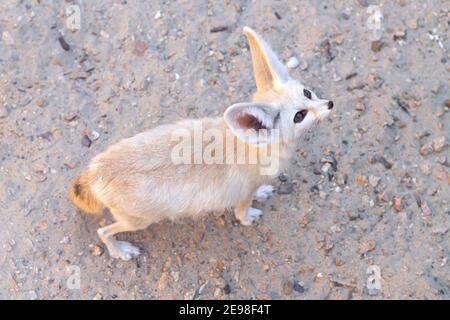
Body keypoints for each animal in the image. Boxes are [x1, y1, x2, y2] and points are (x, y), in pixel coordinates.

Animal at [67, 25, 334, 260]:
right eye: (299, 116)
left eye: (307, 93)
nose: (330, 104)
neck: (256, 147)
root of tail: (94, 174)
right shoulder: (243, 194)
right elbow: (242, 213)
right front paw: (249, 217)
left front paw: (264, 191)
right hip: (138, 221)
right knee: (103, 231)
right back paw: (121, 250)